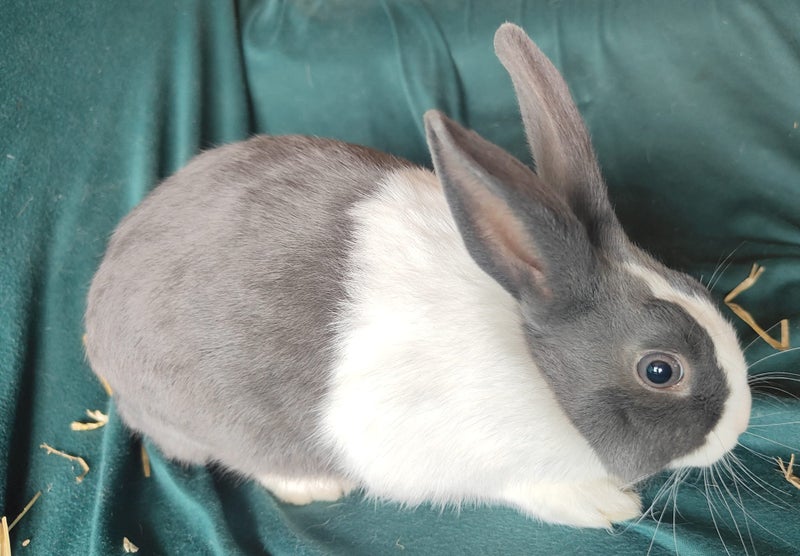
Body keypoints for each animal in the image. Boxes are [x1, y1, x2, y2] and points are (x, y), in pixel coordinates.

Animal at [84, 23, 752, 528]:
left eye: (698, 290)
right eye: (661, 371)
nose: (740, 426)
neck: (538, 362)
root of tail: (99, 313)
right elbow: (537, 490)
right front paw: (606, 505)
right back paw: (311, 485)